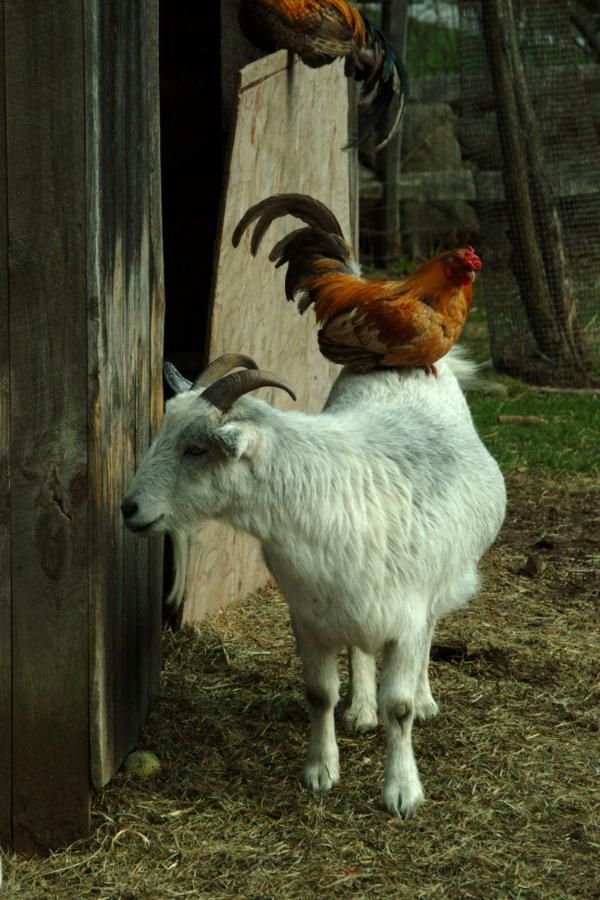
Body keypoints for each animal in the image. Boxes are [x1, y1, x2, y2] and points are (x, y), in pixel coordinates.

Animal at [122, 356, 506, 820]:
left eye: (196, 449)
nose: (129, 508)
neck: (327, 497)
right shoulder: (309, 617)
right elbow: (320, 694)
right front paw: (321, 770)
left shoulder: (407, 621)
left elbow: (399, 709)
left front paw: (402, 792)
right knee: (359, 648)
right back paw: (361, 709)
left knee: (430, 634)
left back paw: (424, 698)